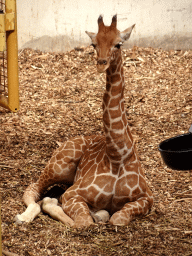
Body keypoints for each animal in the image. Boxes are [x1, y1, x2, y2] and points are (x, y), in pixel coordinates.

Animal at [14, 15, 153, 228]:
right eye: (93, 44)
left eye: (118, 44)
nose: (101, 63)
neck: (118, 155)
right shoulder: (73, 193)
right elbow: (83, 222)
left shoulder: (147, 197)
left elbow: (118, 218)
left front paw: (101, 214)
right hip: (59, 165)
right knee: (34, 190)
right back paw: (24, 216)